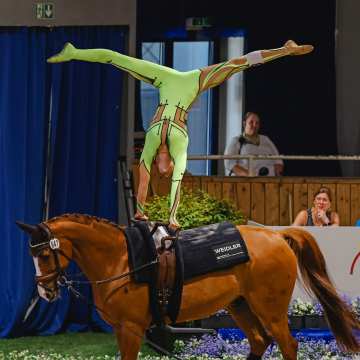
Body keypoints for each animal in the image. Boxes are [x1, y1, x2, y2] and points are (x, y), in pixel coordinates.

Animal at [16, 215, 360, 358]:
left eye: (44, 254)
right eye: (31, 254)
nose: (45, 292)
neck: (122, 260)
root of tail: (276, 235)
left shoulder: (131, 329)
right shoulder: (121, 329)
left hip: (270, 309)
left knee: (288, 345)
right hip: (240, 305)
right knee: (260, 342)